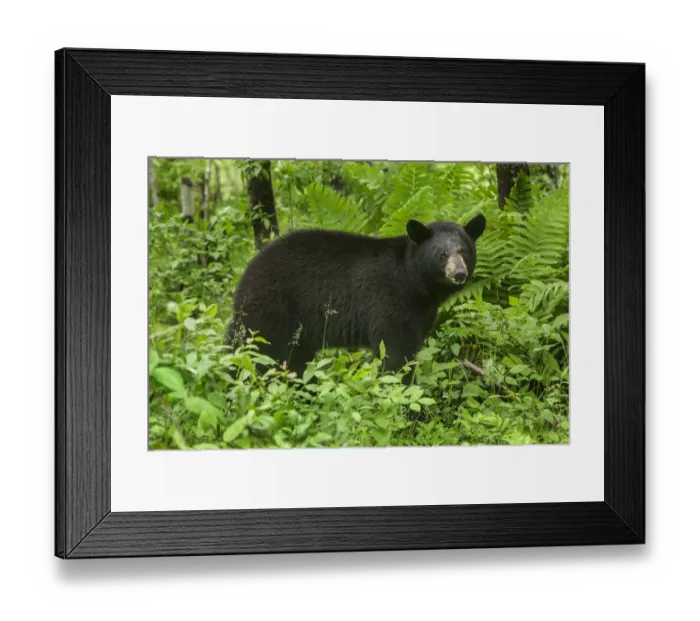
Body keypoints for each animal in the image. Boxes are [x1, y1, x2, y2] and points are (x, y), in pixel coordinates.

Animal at [227, 214, 486, 378]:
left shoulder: (421, 313)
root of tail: (246, 272)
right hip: (270, 309)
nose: (459, 273)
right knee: (255, 351)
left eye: (464, 251)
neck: (415, 284)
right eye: (442, 254)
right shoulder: (389, 302)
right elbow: (395, 352)